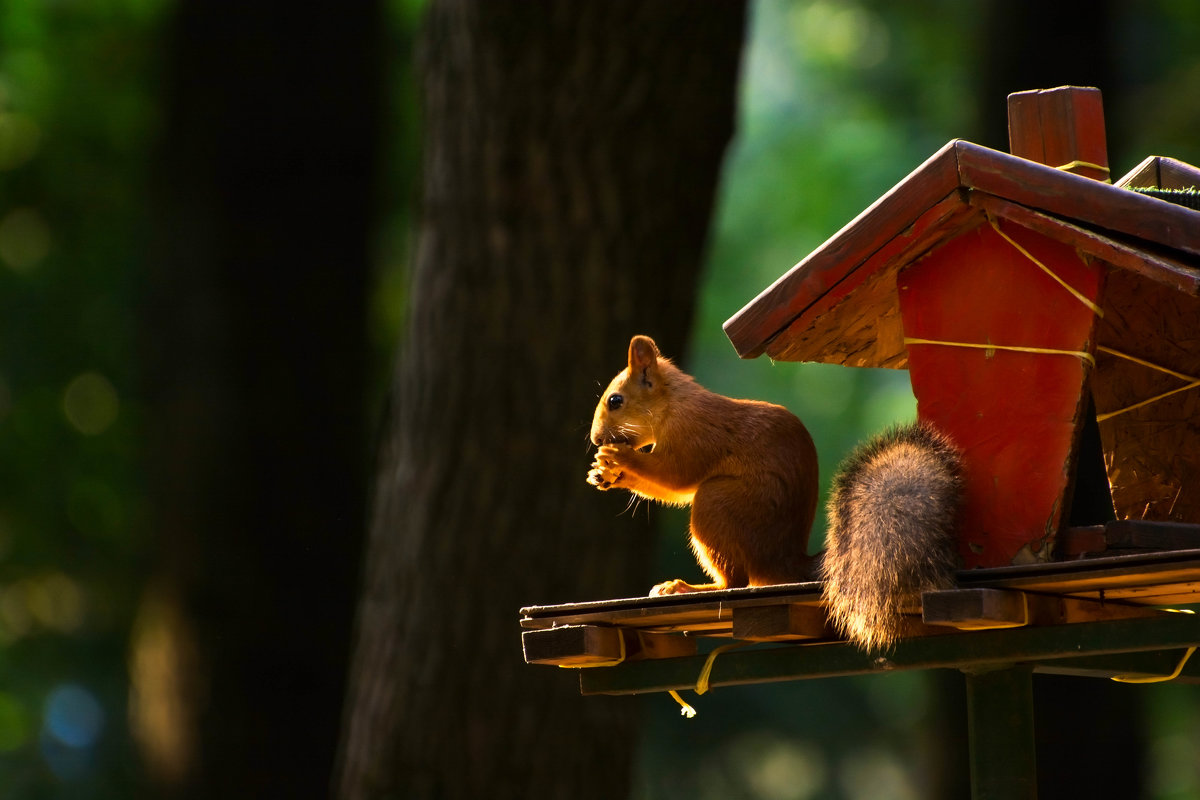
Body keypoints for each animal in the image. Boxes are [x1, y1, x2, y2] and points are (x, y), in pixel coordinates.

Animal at [588, 335, 964, 652]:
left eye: (615, 400)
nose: (596, 439)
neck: (673, 404)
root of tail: (783, 559)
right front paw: (603, 473)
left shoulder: (694, 434)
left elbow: (674, 478)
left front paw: (619, 458)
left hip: (716, 504)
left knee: (734, 583)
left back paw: (686, 588)